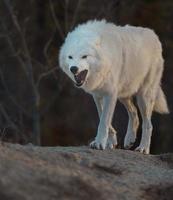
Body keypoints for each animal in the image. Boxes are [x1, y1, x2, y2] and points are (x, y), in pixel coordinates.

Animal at [59, 19, 169, 155]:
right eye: (70, 57)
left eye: (84, 56)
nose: (73, 68)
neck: (105, 61)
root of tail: (154, 35)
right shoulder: (98, 95)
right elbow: (102, 116)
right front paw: (111, 142)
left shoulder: (110, 94)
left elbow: (104, 121)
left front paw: (99, 143)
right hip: (123, 95)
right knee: (134, 113)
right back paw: (129, 140)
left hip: (143, 97)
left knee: (148, 124)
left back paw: (143, 148)